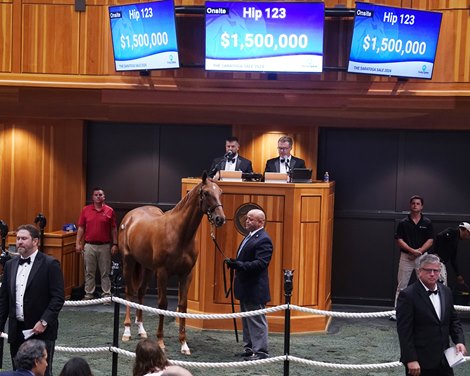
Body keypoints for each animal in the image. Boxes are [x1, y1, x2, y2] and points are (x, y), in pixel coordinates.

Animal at [116, 172, 225, 354]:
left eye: (220, 192)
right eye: (206, 193)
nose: (220, 218)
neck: (179, 233)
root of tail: (130, 216)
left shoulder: (186, 274)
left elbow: (183, 305)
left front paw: (184, 344)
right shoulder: (162, 273)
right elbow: (162, 304)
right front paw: (160, 342)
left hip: (147, 268)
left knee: (141, 293)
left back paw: (141, 330)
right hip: (128, 262)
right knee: (129, 293)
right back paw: (127, 331)